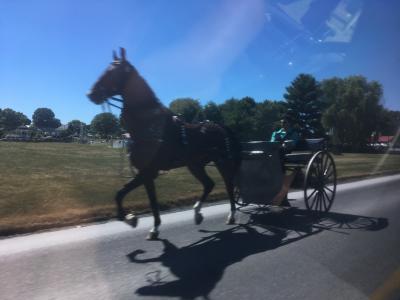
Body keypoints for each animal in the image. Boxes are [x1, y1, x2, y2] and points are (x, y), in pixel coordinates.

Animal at [86, 47, 241, 239]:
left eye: (113, 73)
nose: (91, 94)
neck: (149, 125)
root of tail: (220, 127)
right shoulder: (146, 173)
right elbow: (131, 196)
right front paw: (141, 222)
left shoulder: (148, 172)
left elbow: (128, 195)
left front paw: (136, 220)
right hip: (195, 165)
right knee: (209, 184)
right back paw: (197, 212)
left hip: (222, 162)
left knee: (228, 185)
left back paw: (231, 215)